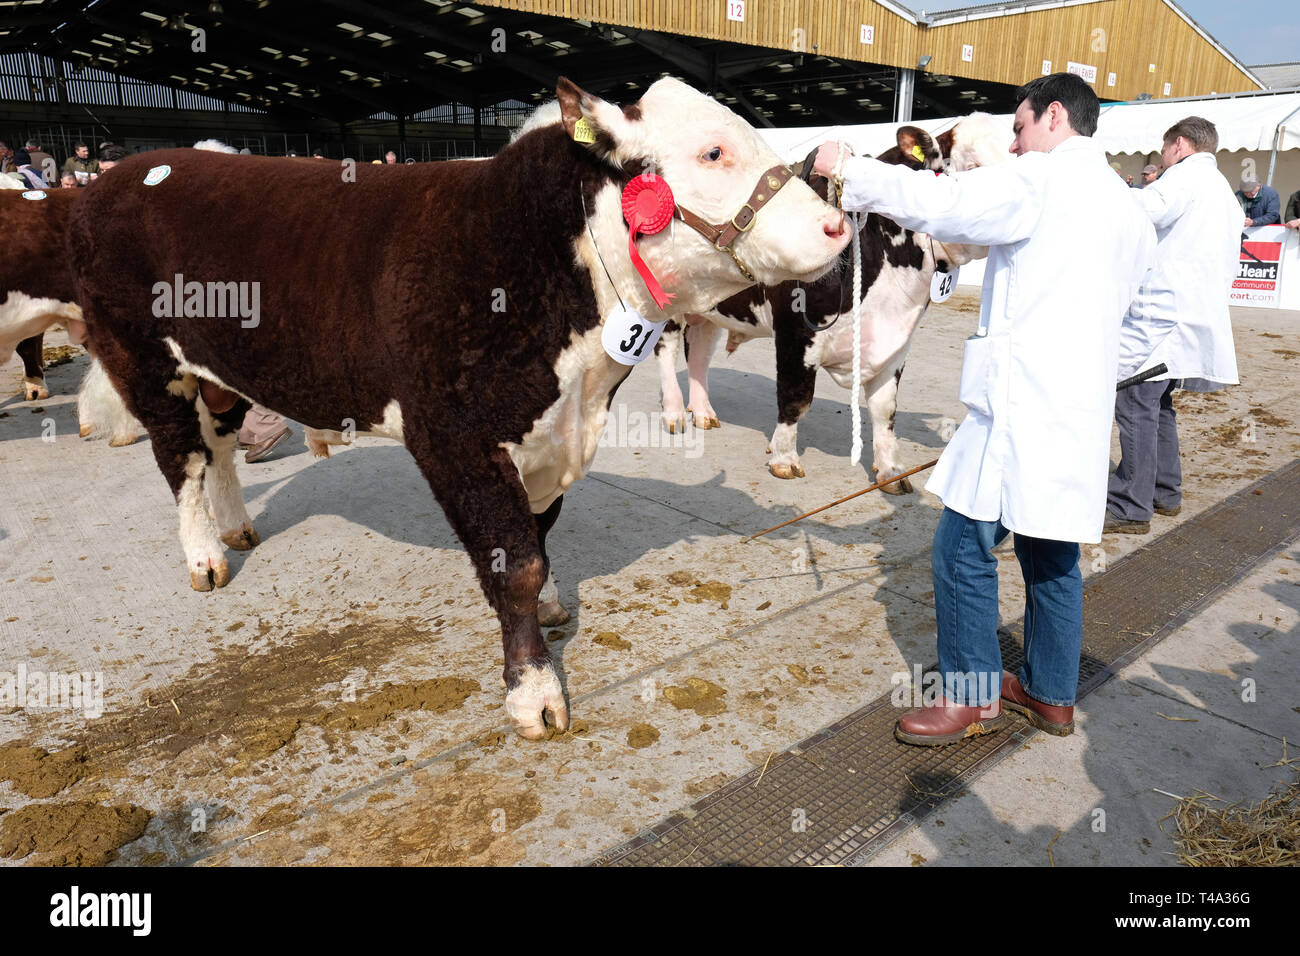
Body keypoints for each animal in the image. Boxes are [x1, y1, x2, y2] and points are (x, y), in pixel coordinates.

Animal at [68, 78, 852, 743]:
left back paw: (235, 527)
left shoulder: (548, 433)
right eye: (713, 151)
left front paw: (554, 607)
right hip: (144, 358)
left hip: (220, 365)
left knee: (223, 443)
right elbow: (516, 563)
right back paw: (203, 556)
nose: (838, 227)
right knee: (183, 459)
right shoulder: (454, 436)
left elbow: (540, 537)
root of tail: (125, 172)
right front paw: (535, 693)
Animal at [660, 115, 1003, 489]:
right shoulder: (796, 331)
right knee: (667, 352)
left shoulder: (896, 342)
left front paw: (890, 472)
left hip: (709, 309)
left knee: (699, 352)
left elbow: (885, 409)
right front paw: (784, 459)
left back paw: (703, 413)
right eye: (972, 166)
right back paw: (674, 414)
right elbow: (796, 396)